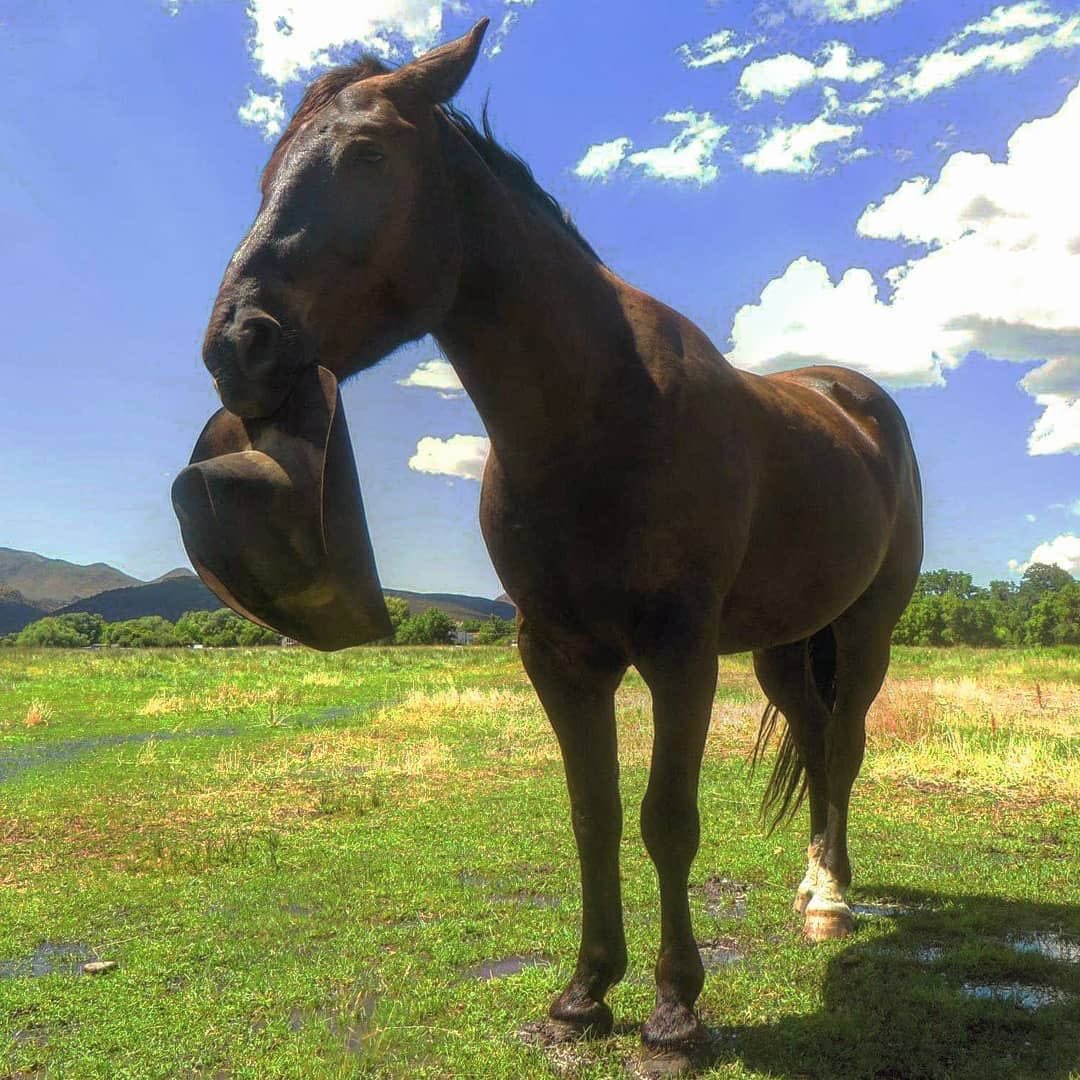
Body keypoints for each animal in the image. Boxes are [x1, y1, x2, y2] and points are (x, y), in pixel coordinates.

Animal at [199, 19, 923, 1050]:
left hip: (867, 629)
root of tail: (851, 395)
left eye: (367, 152)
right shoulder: (557, 654)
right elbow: (594, 816)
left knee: (849, 742)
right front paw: (585, 991)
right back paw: (812, 888)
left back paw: (832, 896)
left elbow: (668, 820)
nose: (236, 344)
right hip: (784, 644)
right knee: (819, 741)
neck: (601, 414)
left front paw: (675, 1006)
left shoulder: (679, 652)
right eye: (268, 171)